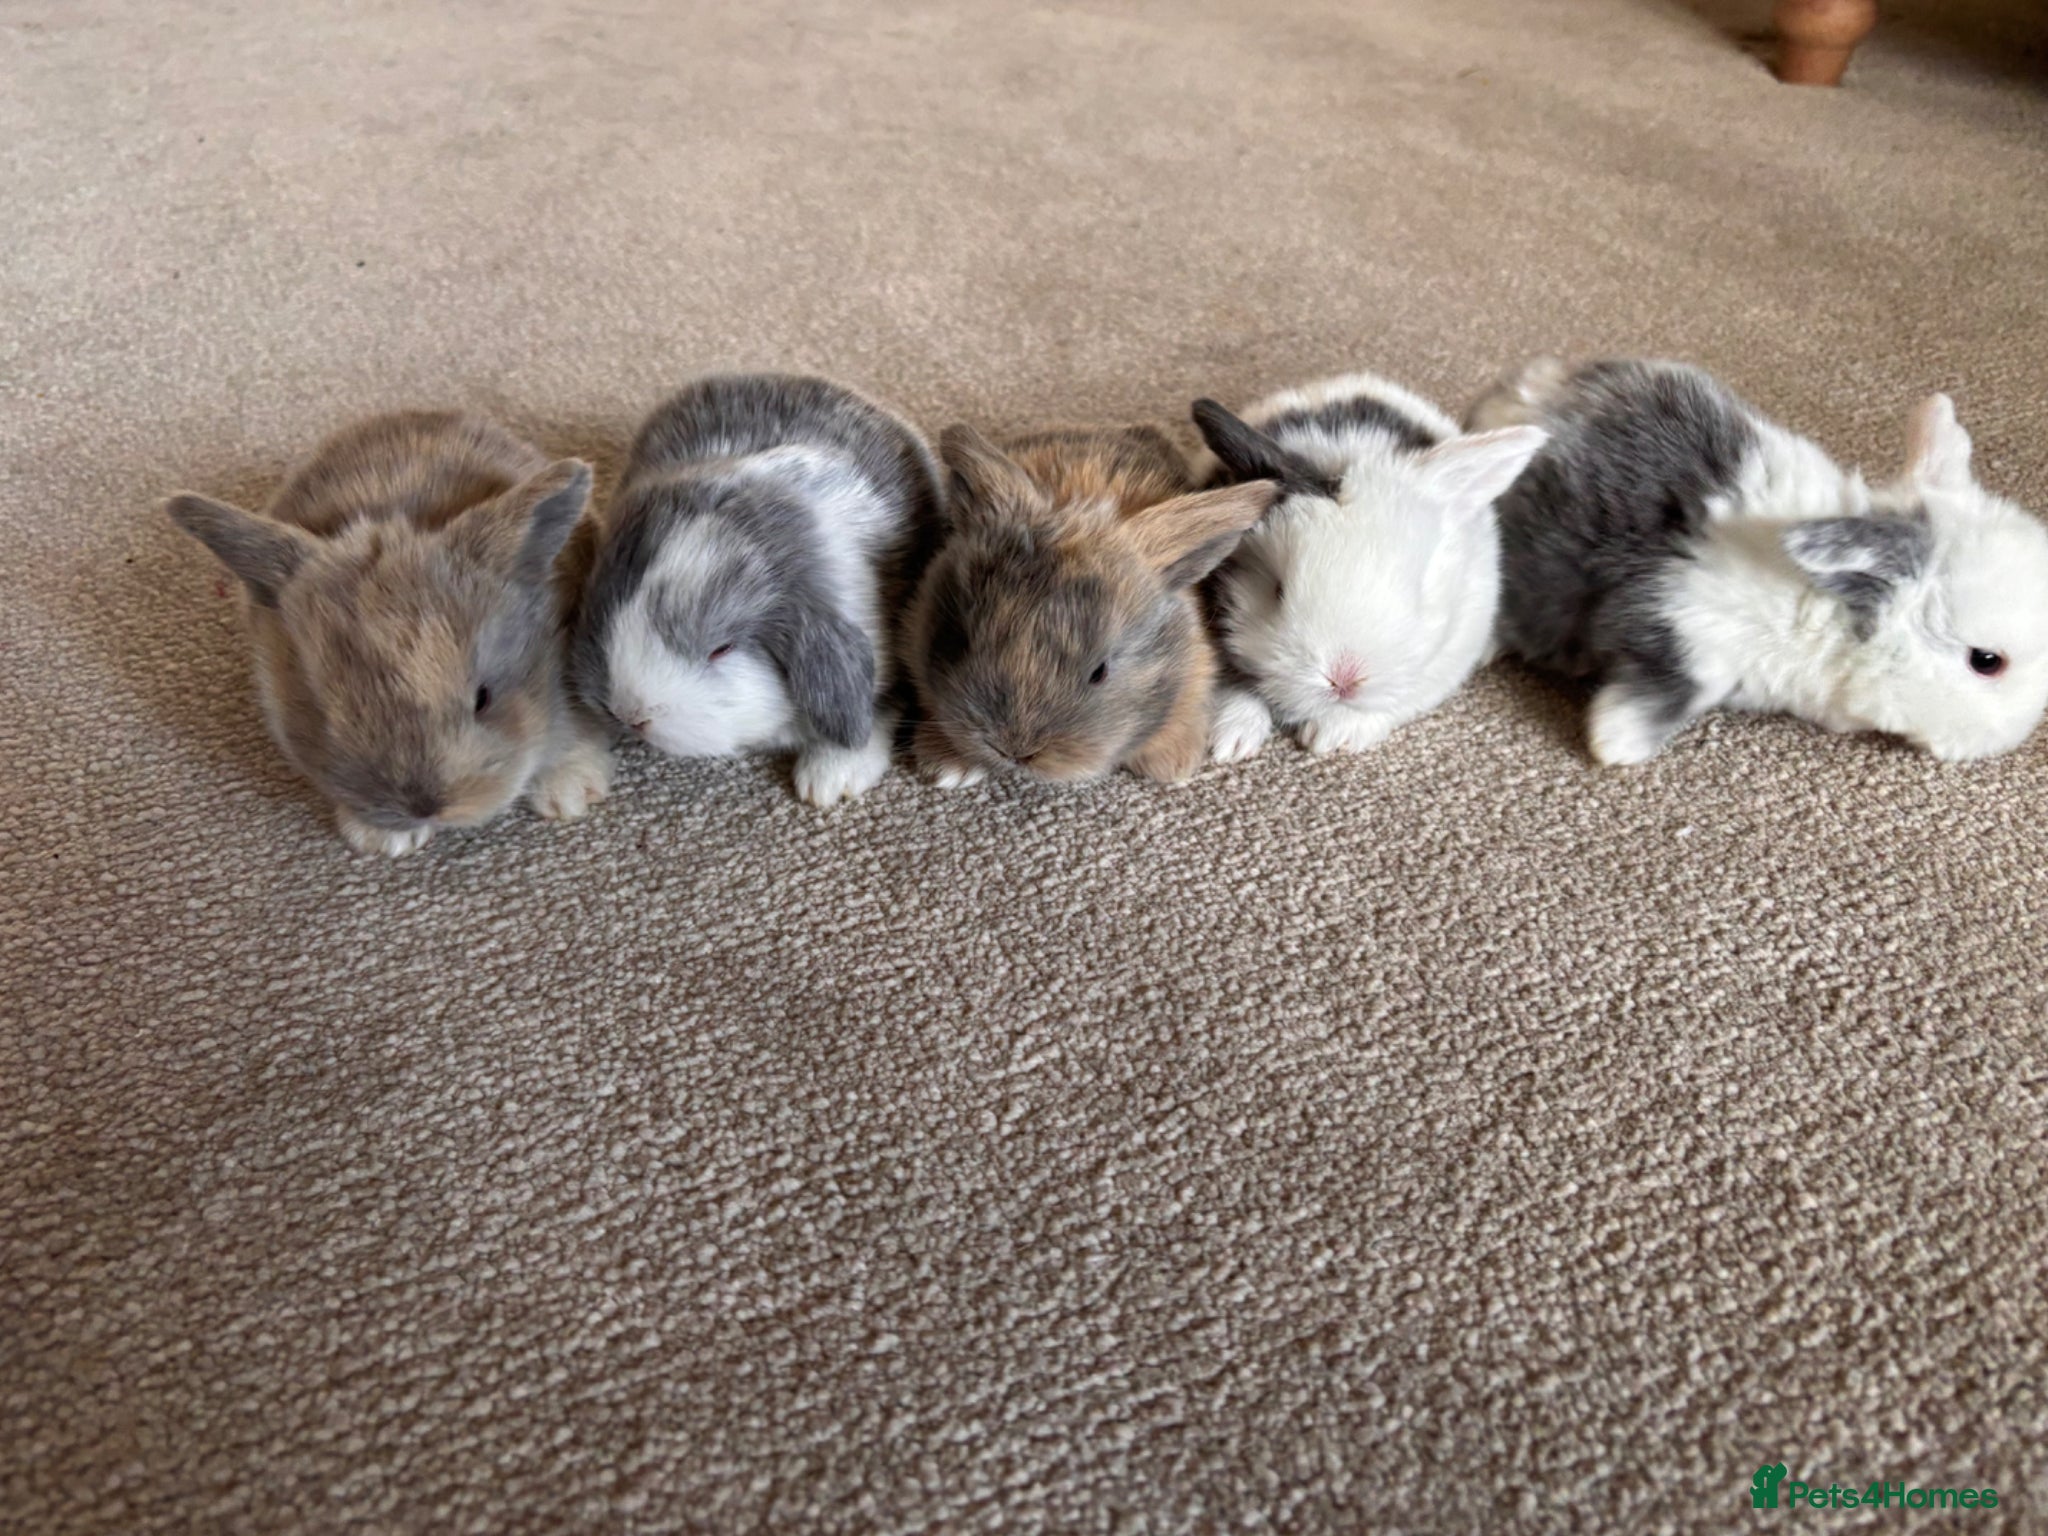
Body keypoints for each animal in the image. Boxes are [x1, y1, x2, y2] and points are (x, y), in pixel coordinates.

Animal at [1467, 357, 2048, 764]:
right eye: (1986, 661)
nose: (2016, 735)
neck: (1826, 606)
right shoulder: (1691, 625)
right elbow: (1671, 688)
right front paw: (1616, 742)